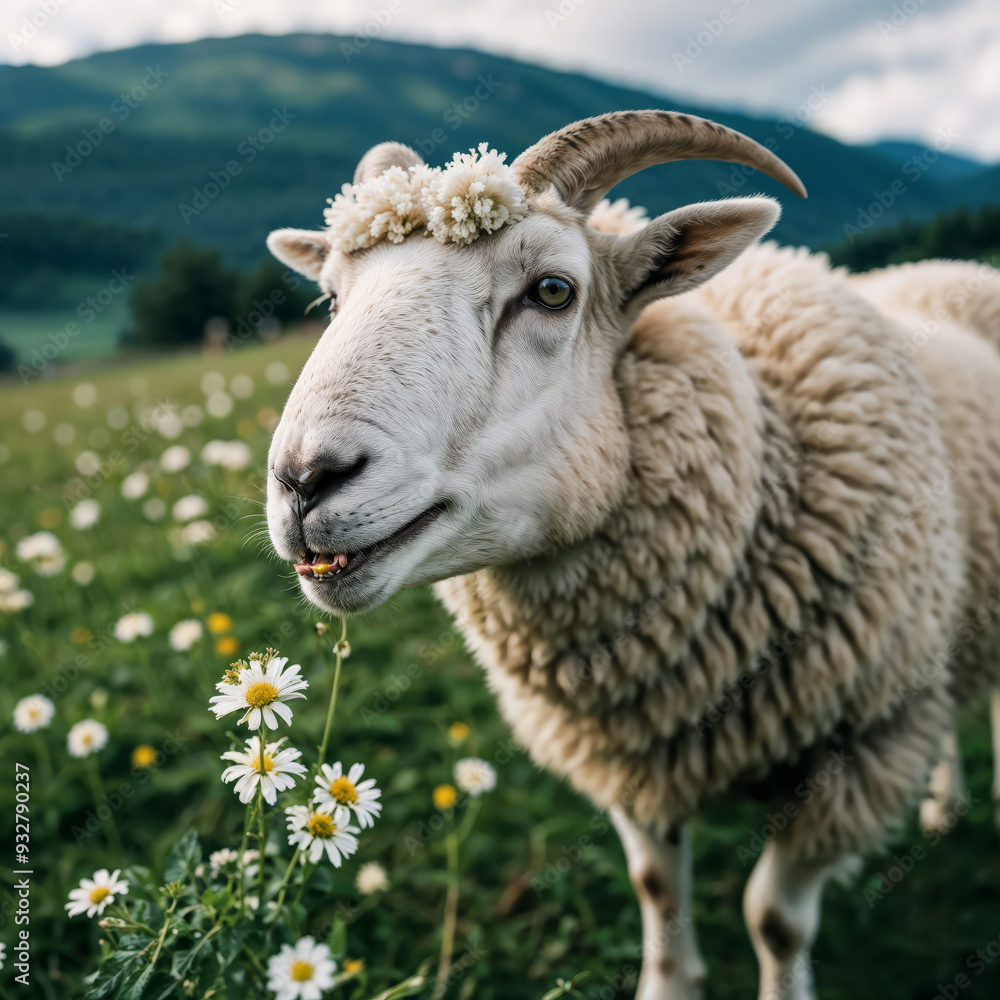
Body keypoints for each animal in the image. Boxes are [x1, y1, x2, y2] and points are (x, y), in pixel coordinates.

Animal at [264, 110, 1000, 1000]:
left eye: (553, 290)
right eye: (333, 299)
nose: (304, 480)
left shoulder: (858, 752)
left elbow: (775, 920)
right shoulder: (634, 757)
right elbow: (655, 886)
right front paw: (667, 980)